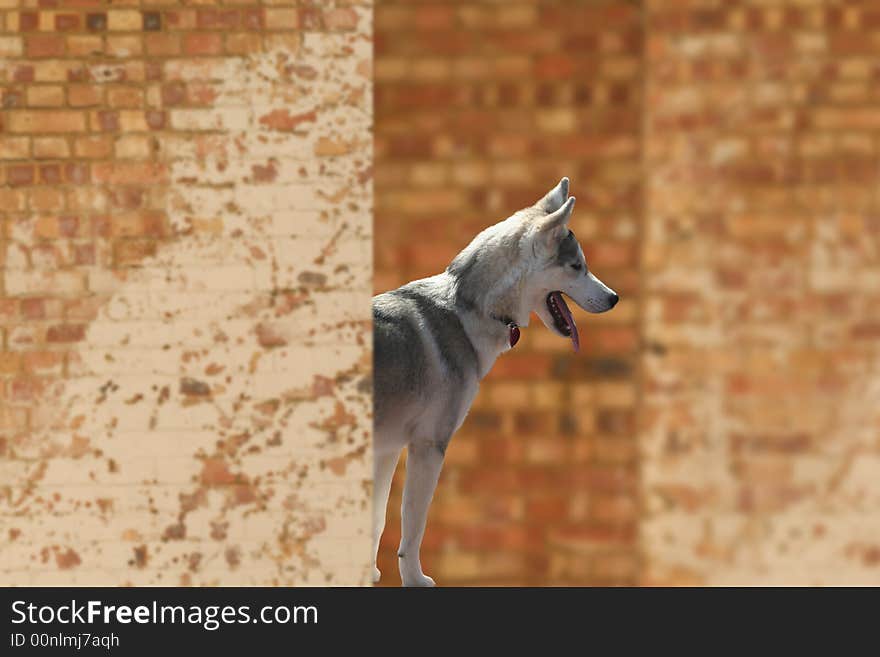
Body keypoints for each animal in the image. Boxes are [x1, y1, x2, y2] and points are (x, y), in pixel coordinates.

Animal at [372, 178, 620, 584]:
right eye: (577, 266)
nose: (615, 298)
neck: (468, 310)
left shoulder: (387, 448)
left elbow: (377, 520)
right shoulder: (428, 446)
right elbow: (413, 527)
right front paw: (414, 579)